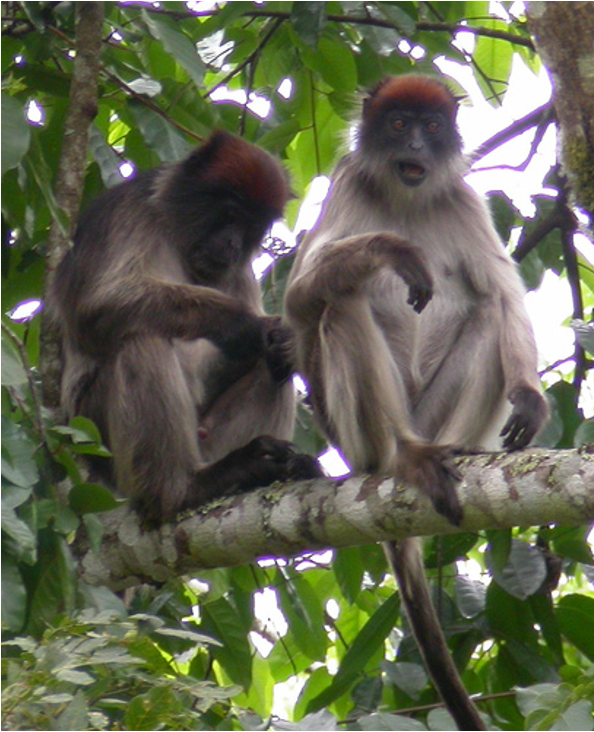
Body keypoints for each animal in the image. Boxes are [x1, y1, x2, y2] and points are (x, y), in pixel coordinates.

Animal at [48, 130, 321, 527]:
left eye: (252, 228)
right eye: (230, 214)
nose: (232, 243)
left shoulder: (234, 266)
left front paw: (279, 339)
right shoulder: (125, 212)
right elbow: (96, 308)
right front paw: (246, 324)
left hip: (209, 437)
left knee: (272, 366)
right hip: (97, 438)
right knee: (143, 338)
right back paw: (180, 490)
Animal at [285, 75, 549, 731]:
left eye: (432, 126)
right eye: (399, 123)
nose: (417, 149)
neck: (406, 199)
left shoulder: (462, 200)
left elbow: (504, 298)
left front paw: (530, 400)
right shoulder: (350, 180)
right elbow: (300, 299)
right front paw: (392, 249)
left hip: (435, 413)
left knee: (487, 310)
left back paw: (453, 449)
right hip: (359, 436)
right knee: (341, 301)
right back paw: (405, 457)